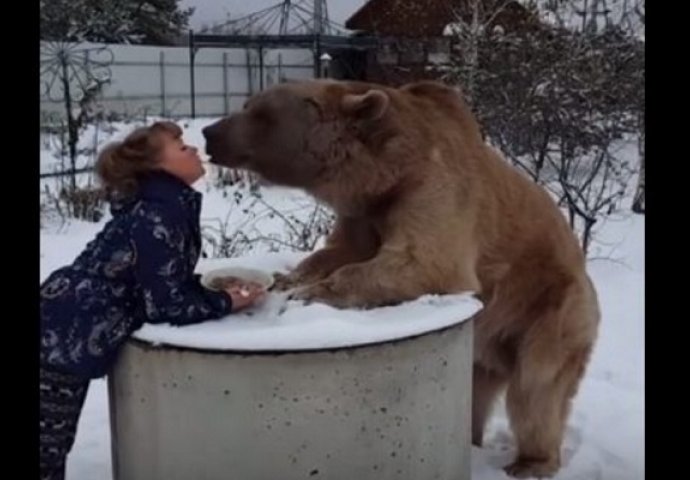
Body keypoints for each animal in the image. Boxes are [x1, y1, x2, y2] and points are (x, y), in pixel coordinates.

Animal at [202, 79, 600, 476]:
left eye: (260, 112)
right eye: (249, 104)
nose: (209, 133)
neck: (383, 175)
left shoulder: (431, 190)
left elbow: (422, 262)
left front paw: (307, 294)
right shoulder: (363, 214)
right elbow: (337, 251)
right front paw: (288, 279)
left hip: (549, 308)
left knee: (536, 387)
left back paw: (530, 462)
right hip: (485, 341)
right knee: (476, 389)